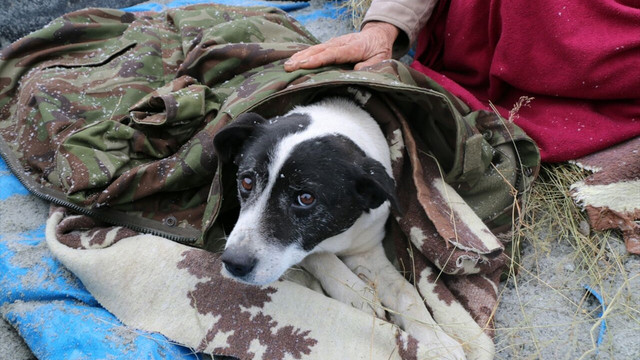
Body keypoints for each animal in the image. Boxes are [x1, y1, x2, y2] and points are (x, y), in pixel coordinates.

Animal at [214, 97, 464, 358]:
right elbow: (319, 256)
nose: (234, 263)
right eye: (246, 181)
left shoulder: (366, 249)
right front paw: (358, 296)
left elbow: (405, 291)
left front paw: (438, 341)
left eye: (306, 198)